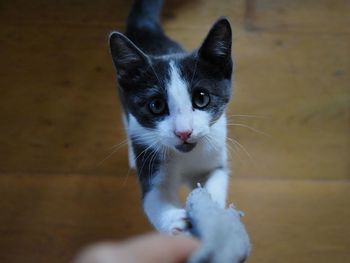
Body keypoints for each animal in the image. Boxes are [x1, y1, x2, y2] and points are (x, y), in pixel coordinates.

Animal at [110, 0, 232, 235]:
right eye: (156, 105)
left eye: (201, 98)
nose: (184, 132)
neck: (186, 157)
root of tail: (145, 28)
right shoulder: (150, 154)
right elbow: (153, 197)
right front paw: (176, 220)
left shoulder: (216, 149)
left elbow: (217, 176)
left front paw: (212, 211)